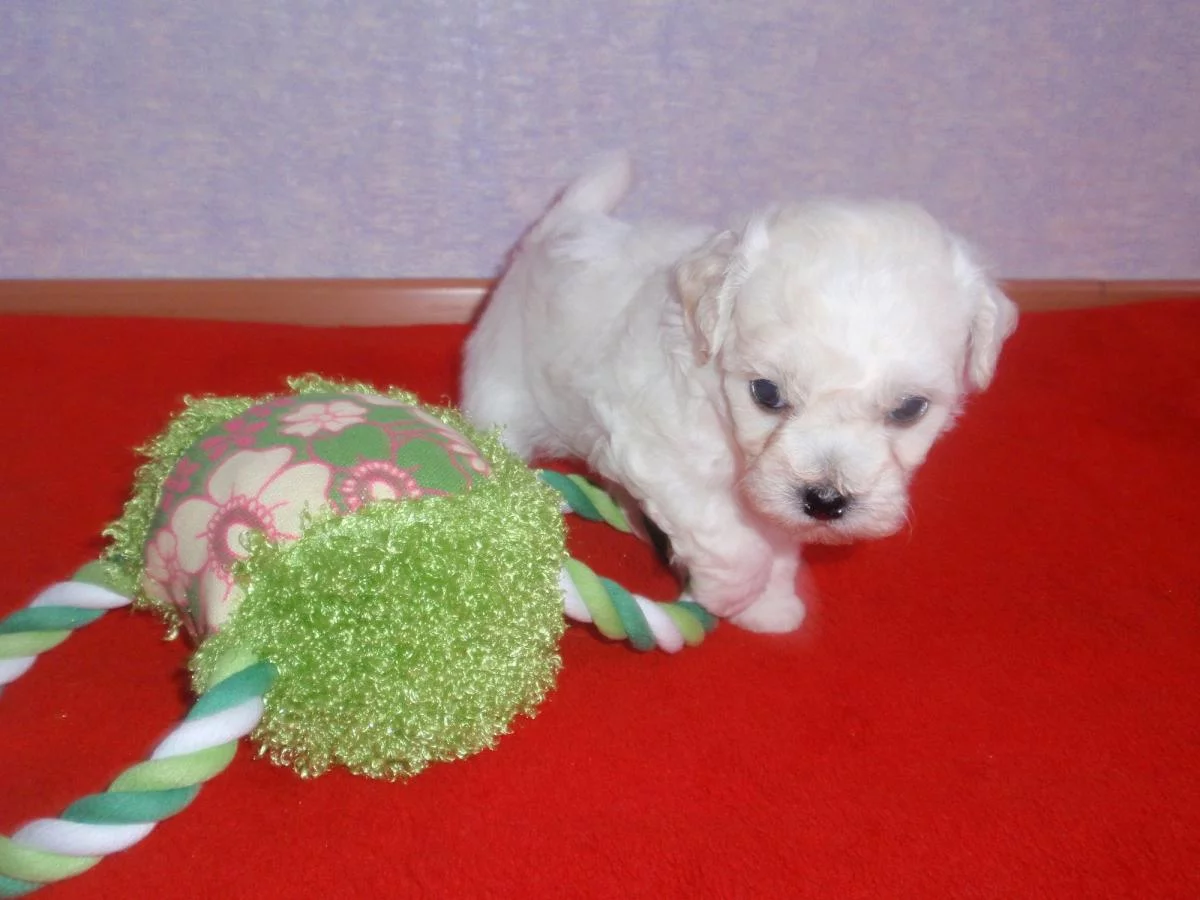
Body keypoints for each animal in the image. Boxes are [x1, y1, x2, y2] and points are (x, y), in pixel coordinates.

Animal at [461, 152, 1017, 633]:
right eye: (767, 394)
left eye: (908, 409)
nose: (826, 500)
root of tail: (560, 227)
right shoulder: (659, 451)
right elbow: (730, 541)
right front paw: (731, 594)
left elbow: (774, 538)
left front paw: (769, 607)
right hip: (499, 387)